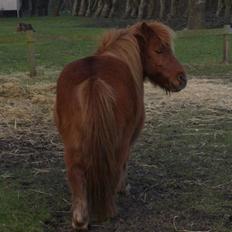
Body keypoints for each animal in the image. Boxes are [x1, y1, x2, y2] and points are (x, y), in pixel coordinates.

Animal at [54, 20, 187, 230]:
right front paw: (123, 188)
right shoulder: (129, 139)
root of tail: (93, 80)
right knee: (114, 167)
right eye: (159, 49)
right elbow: (124, 164)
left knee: (76, 172)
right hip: (119, 142)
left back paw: (80, 219)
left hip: (71, 145)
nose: (182, 78)